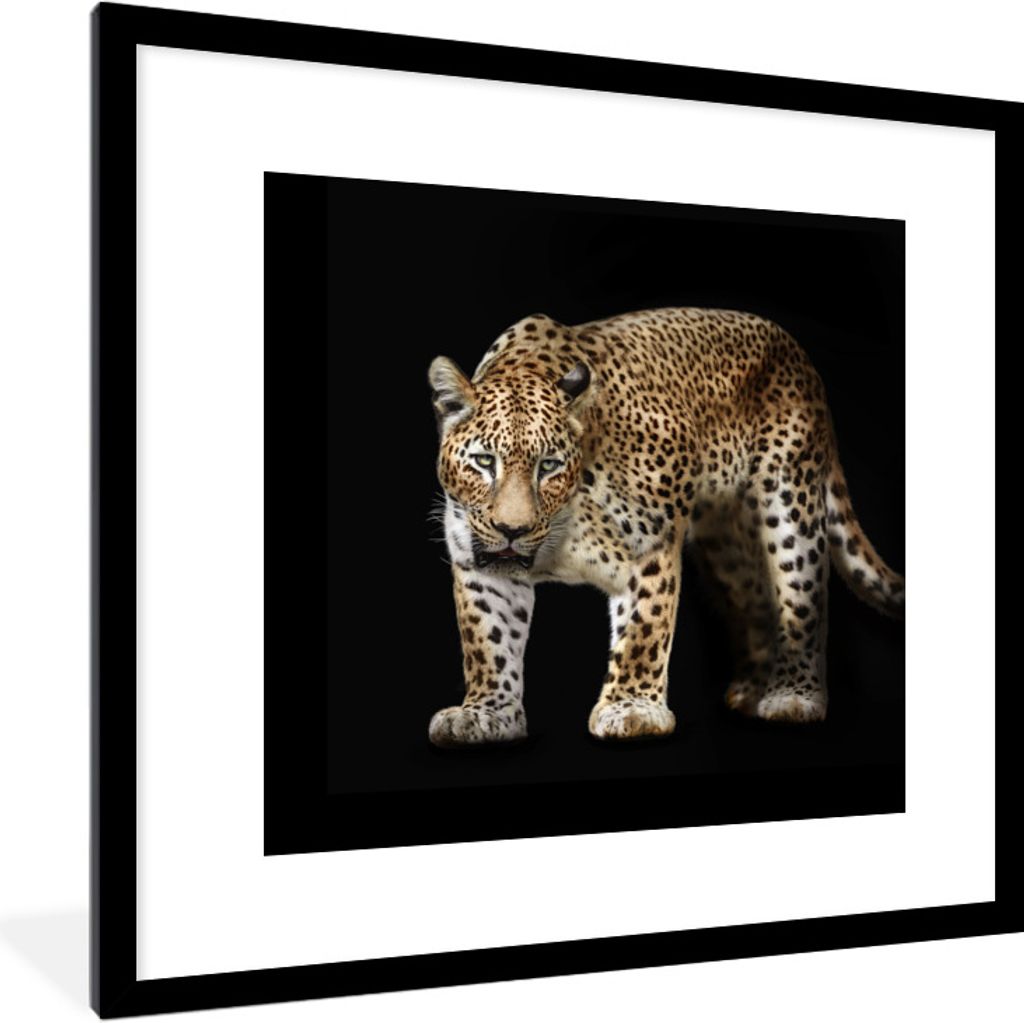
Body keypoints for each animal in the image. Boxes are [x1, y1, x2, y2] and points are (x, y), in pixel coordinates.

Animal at [427, 307, 904, 746]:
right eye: (484, 461)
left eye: (549, 466)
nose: (513, 529)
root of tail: (799, 356)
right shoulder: (480, 566)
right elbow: (488, 641)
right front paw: (486, 713)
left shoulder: (650, 543)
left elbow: (644, 627)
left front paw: (632, 709)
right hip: (727, 545)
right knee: (754, 598)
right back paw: (751, 691)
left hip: (790, 501)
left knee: (803, 596)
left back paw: (793, 696)